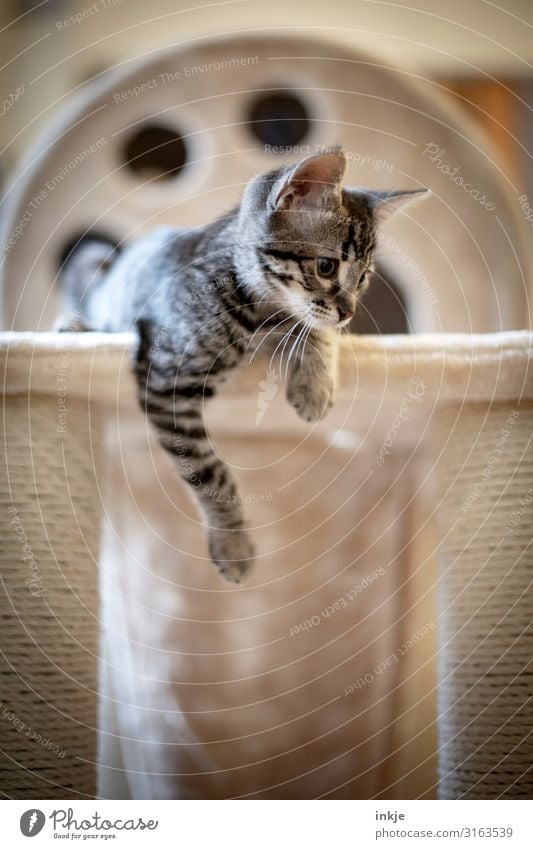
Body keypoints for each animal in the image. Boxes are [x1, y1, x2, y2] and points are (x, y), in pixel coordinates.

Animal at [62, 149, 428, 580]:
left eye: (364, 278)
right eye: (326, 267)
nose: (349, 312)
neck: (261, 315)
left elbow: (312, 327)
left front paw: (314, 383)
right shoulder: (167, 379)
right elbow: (208, 471)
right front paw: (233, 542)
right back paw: (75, 326)